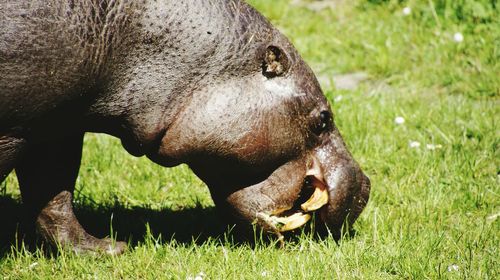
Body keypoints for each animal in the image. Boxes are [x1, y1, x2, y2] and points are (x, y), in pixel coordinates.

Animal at [0, 0, 372, 254]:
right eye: (323, 118)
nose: (366, 186)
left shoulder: (56, 125)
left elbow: (53, 193)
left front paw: (105, 250)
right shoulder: (15, 130)